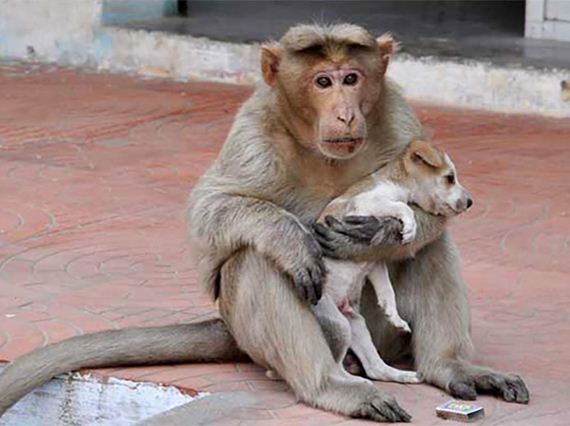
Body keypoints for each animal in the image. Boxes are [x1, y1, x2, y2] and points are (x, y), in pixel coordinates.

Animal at [316, 139, 470, 382]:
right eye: (449, 178)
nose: (470, 202)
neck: (396, 183)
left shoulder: (374, 260)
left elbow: (387, 289)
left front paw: (393, 315)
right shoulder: (365, 203)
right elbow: (402, 206)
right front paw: (410, 228)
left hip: (356, 324)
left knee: (375, 368)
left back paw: (405, 376)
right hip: (337, 324)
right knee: (335, 366)